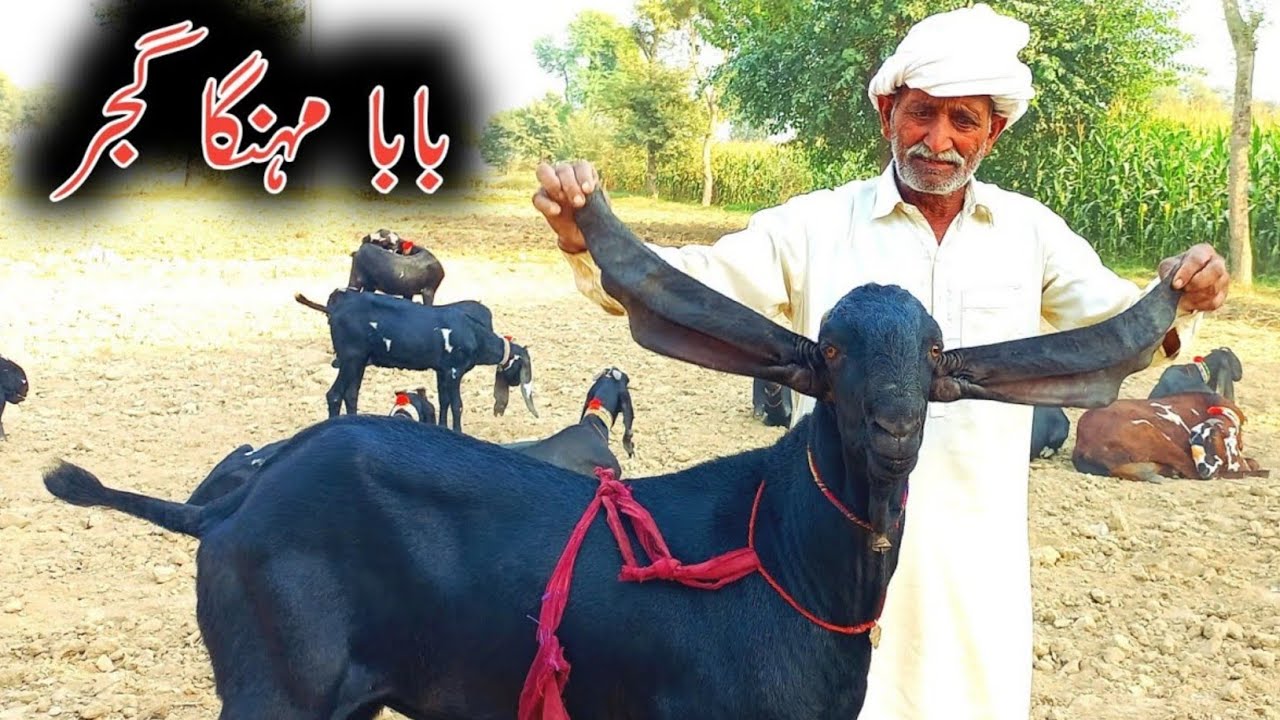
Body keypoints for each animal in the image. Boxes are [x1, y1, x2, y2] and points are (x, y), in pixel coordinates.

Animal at [295, 289, 537, 432]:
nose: (517, 382)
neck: (474, 335)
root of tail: (333, 309)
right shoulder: (454, 371)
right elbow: (457, 405)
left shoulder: (442, 370)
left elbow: (444, 401)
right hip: (350, 357)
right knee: (335, 395)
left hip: (358, 361)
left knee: (351, 394)